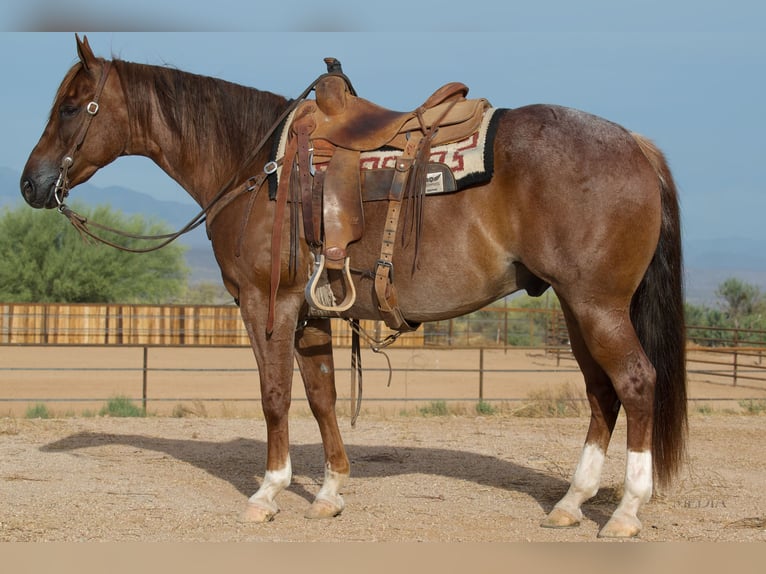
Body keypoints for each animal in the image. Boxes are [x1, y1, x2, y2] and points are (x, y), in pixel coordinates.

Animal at [20, 35, 686, 538]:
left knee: (634, 383)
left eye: (71, 107)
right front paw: (330, 491)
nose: (31, 184)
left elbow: (274, 397)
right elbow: (322, 397)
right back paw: (571, 504)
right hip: (576, 307)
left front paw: (269, 492)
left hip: (597, 305)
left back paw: (625, 512)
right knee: (601, 393)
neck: (254, 164)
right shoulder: (311, 312)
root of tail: (635, 145)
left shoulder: (267, 303)